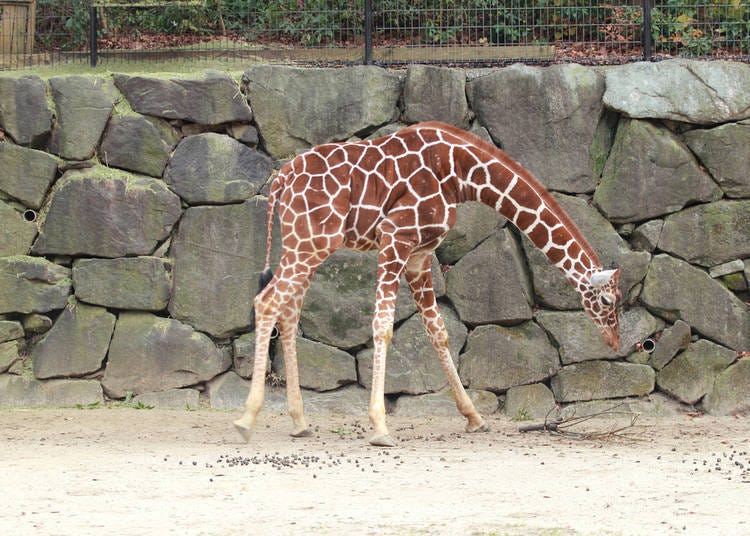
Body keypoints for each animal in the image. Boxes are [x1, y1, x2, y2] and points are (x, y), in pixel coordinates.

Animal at [236, 121, 624, 448]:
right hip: (311, 243)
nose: (615, 342)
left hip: (305, 244)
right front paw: (380, 427)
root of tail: (280, 180)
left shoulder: (420, 254)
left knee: (288, 314)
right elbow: (383, 326)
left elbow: (438, 331)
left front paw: (474, 417)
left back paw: (299, 421)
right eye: (608, 301)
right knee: (267, 303)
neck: (461, 173)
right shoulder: (396, 235)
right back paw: (246, 419)